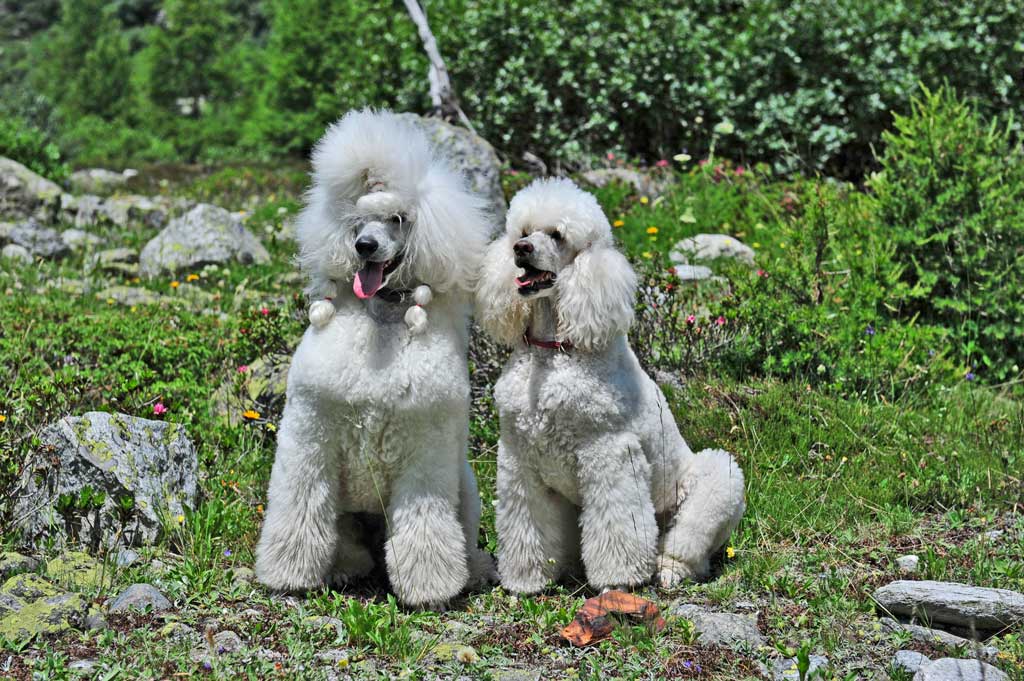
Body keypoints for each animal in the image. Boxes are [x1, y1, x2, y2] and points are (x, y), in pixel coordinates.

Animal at [255, 110, 493, 607]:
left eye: (398, 219)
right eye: (356, 221)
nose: (364, 246)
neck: (381, 320)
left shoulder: (426, 451)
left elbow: (425, 526)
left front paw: (428, 592)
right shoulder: (311, 437)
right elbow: (298, 506)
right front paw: (288, 577)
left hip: (466, 488)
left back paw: (475, 571)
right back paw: (345, 570)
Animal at [476, 177, 745, 592]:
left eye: (557, 236)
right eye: (522, 233)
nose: (521, 250)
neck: (554, 352)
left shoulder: (609, 455)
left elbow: (616, 527)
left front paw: (618, 582)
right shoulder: (519, 460)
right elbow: (527, 526)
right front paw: (526, 582)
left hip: (718, 482)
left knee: (687, 549)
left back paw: (668, 570)